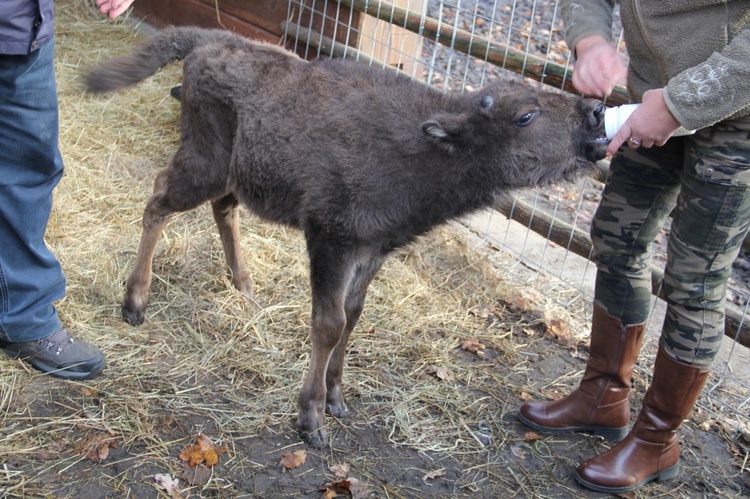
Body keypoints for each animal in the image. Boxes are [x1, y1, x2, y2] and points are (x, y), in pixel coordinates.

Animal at [85, 26, 608, 450]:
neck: (425, 145)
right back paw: (135, 302)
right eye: (525, 116)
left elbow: (354, 316)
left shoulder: (373, 250)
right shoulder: (331, 240)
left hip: (234, 174)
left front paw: (337, 399)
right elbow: (329, 323)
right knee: (158, 200)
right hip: (204, 163)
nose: (596, 112)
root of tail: (207, 42)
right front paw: (311, 418)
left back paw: (245, 288)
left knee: (222, 209)